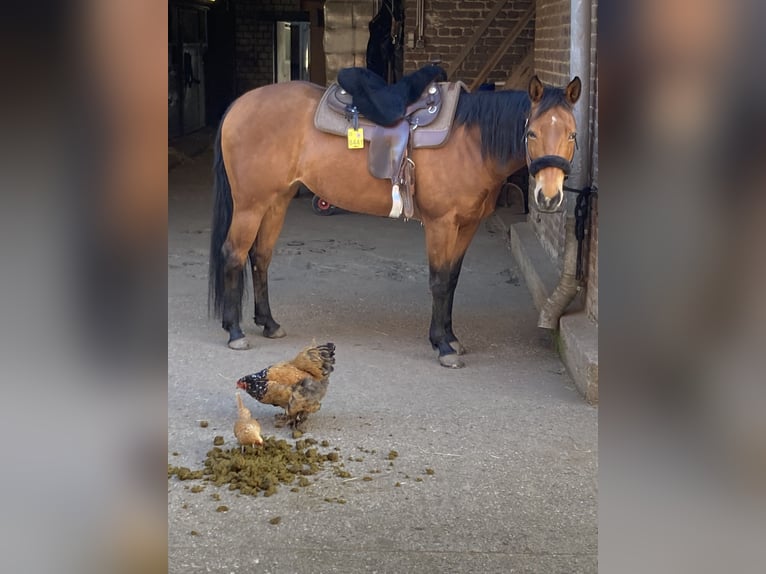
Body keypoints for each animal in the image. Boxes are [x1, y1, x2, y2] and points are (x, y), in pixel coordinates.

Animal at [210, 74, 584, 368]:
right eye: (532, 133)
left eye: (573, 134)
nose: (549, 197)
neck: (471, 141)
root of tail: (239, 105)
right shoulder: (441, 224)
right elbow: (439, 281)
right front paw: (442, 345)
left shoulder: (467, 225)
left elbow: (453, 280)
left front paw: (451, 337)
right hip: (250, 204)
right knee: (233, 254)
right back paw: (235, 331)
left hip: (276, 201)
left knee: (260, 257)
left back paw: (269, 323)